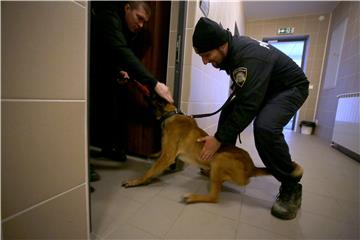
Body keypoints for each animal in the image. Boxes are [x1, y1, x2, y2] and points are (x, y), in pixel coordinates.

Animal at [122, 96, 302, 203]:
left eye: (153, 98)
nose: (147, 90)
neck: (171, 114)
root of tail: (251, 167)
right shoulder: (166, 153)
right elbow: (156, 157)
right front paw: (151, 155)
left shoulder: (168, 156)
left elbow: (150, 171)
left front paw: (136, 181)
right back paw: (206, 172)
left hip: (220, 159)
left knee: (214, 197)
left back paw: (193, 197)